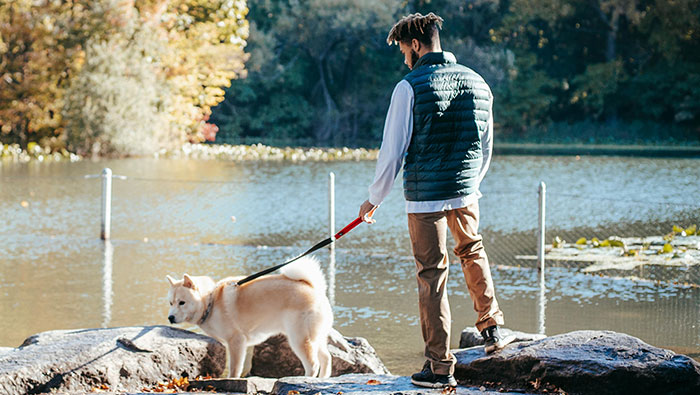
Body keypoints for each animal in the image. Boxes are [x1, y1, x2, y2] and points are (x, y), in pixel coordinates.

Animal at [168, 256, 334, 378]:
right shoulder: (242, 344)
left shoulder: (236, 341)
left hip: (299, 338)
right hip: (317, 337)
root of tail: (313, 288)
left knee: (313, 365)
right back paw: (322, 380)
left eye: (182, 302)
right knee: (326, 359)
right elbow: (242, 366)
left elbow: (234, 369)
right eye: (171, 303)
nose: (170, 317)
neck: (211, 300)